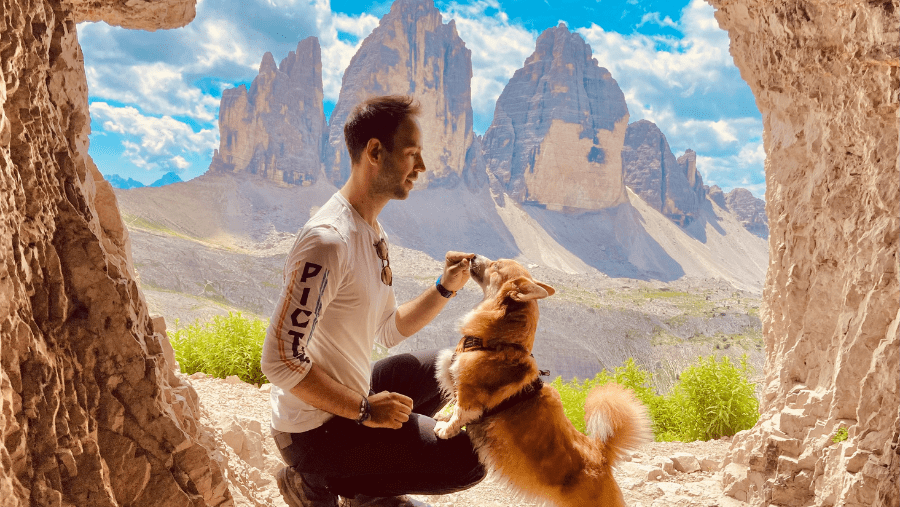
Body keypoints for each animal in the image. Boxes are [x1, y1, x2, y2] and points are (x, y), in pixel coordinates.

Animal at [432, 258, 652, 507]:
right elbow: (453, 403)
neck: (499, 342)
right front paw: (444, 416)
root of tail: (601, 457)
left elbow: (460, 411)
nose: (472, 257)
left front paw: (445, 429)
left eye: (496, 266)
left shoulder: (471, 395)